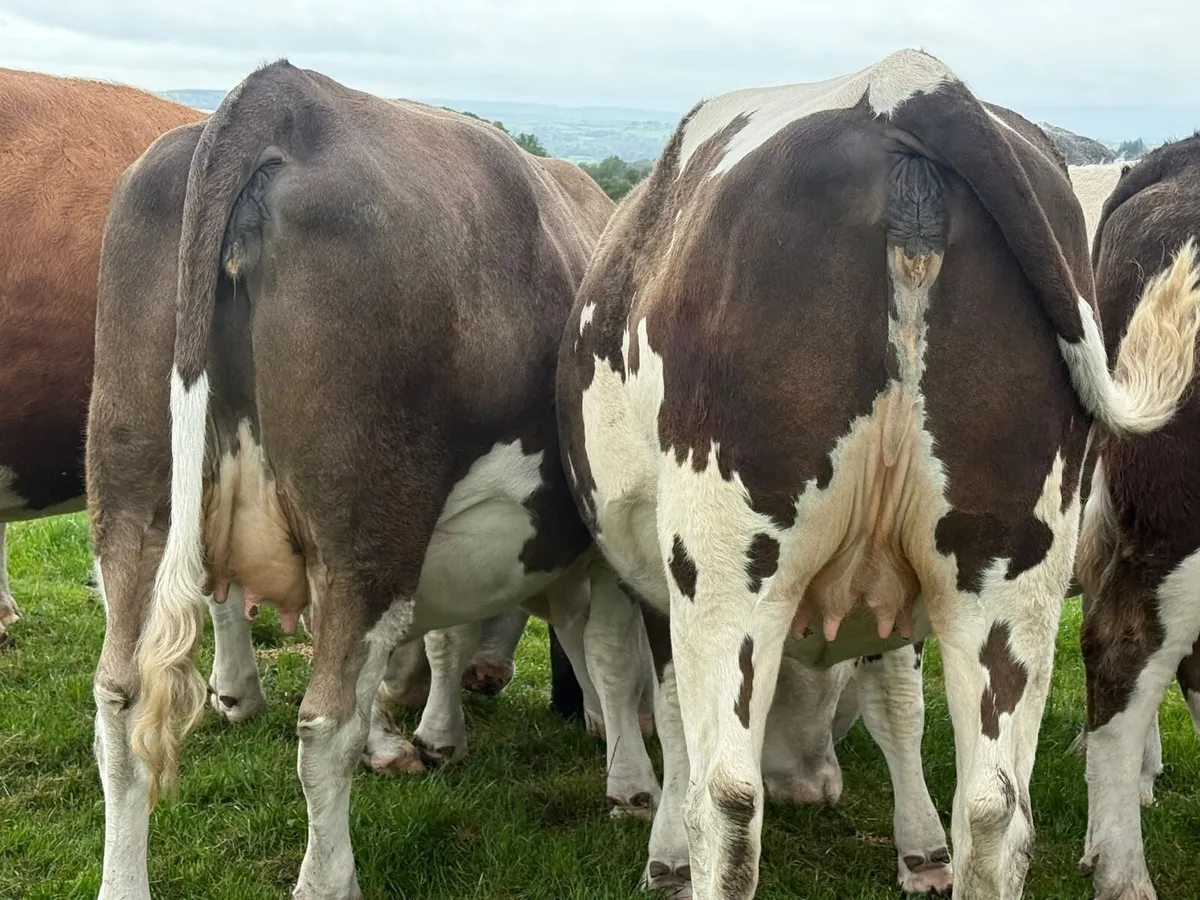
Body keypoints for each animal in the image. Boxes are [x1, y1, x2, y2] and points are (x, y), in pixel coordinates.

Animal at [86, 59, 661, 899]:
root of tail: (288, 95)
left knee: (120, 701)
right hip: (368, 527)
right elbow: (615, 656)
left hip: (135, 496)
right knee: (323, 723)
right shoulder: (599, 542)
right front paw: (631, 779)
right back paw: (330, 875)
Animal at [556, 48, 1200, 900]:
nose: (808, 786)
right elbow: (897, 704)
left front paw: (661, 860)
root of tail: (903, 80)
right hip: (1004, 565)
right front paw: (920, 849)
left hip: (725, 561)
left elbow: (670, 717)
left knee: (726, 799)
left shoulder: (658, 586)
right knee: (995, 806)